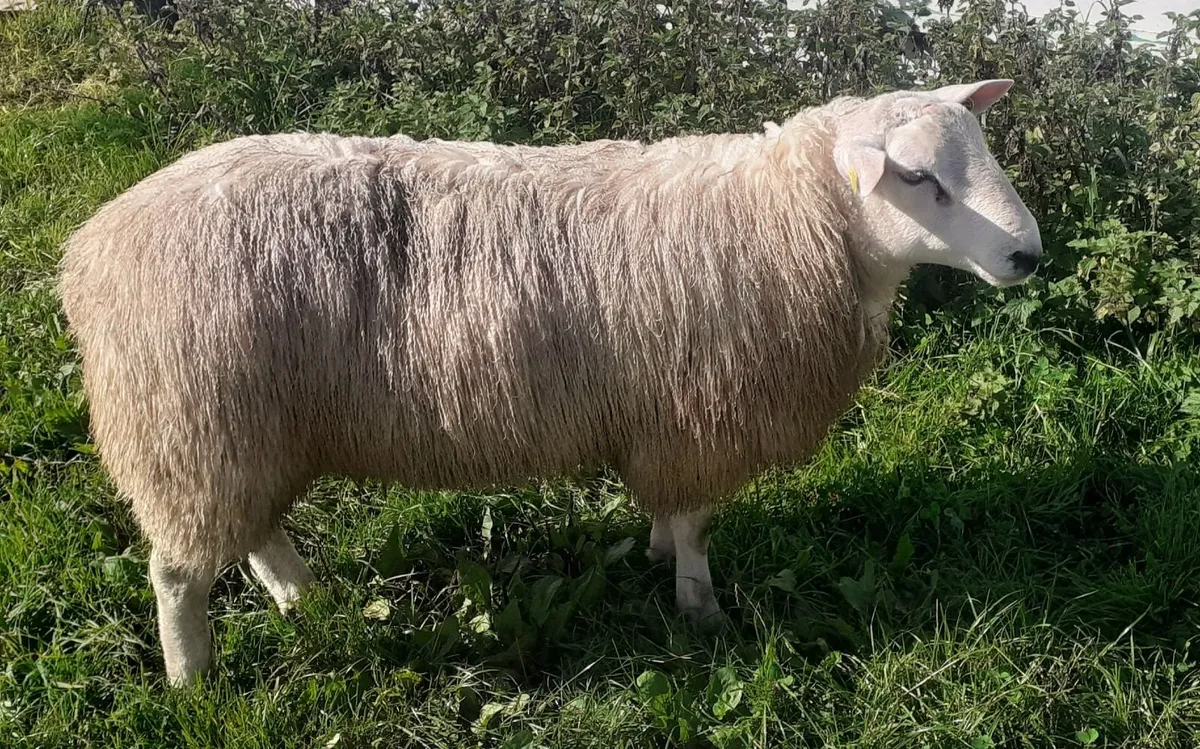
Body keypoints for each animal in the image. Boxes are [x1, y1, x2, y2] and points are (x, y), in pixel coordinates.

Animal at [58, 78, 1042, 687]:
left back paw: (305, 597)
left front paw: (652, 553)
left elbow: (669, 512)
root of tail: (95, 246)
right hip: (193, 419)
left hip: (241, 427)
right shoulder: (698, 412)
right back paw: (193, 682)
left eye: (983, 150)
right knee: (176, 572)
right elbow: (695, 526)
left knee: (254, 529)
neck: (790, 219)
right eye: (914, 175)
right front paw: (700, 611)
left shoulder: (662, 418)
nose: (1028, 255)